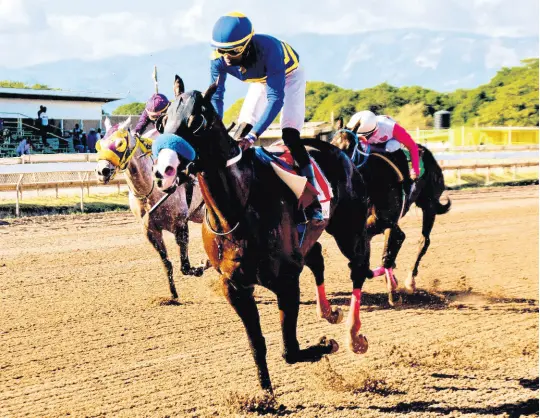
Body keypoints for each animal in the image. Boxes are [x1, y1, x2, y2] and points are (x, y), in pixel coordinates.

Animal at [150, 77, 374, 392]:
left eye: (196, 121)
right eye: (161, 123)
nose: (164, 171)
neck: (236, 211)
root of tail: (336, 148)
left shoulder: (286, 281)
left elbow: (290, 351)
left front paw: (327, 345)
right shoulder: (234, 285)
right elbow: (256, 343)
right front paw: (266, 394)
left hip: (348, 230)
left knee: (358, 267)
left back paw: (354, 336)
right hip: (308, 241)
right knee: (317, 258)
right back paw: (329, 312)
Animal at [330, 117, 452, 300]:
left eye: (349, 147)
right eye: (331, 143)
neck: (372, 180)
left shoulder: (382, 219)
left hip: (429, 205)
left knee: (423, 240)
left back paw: (409, 281)